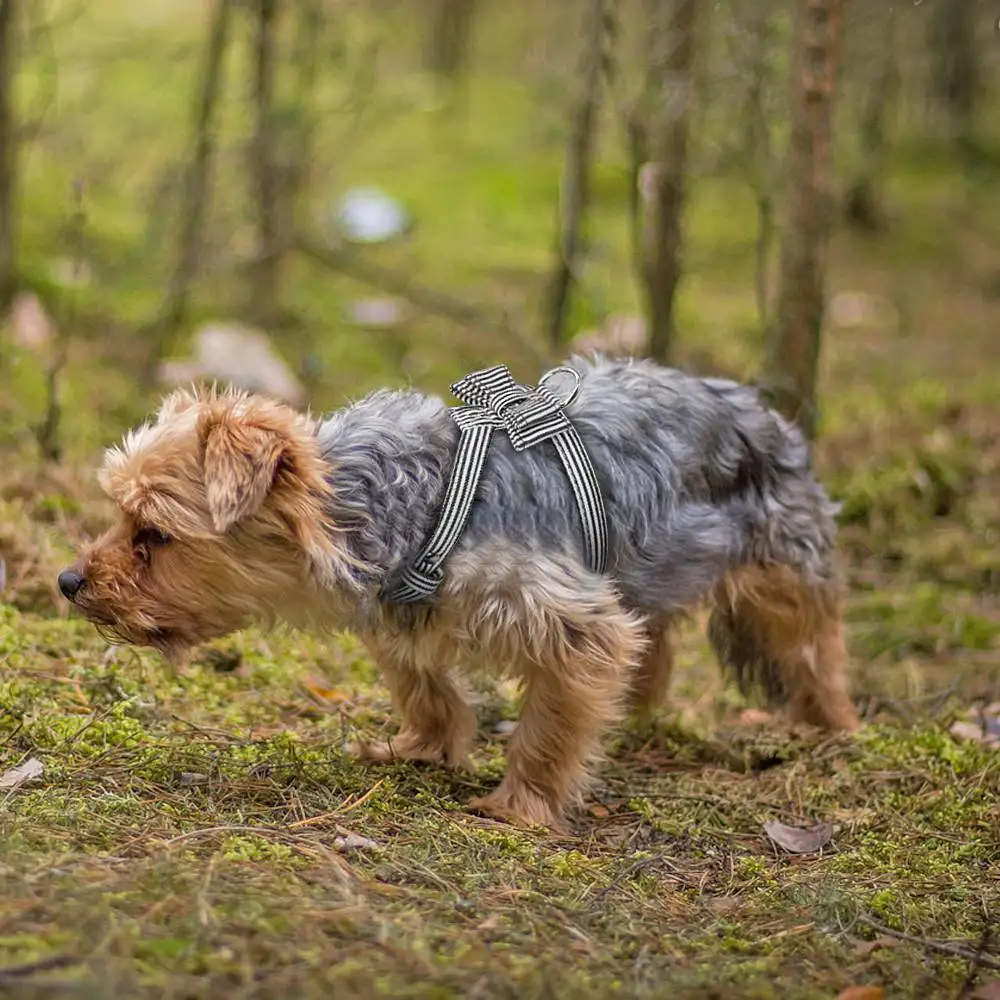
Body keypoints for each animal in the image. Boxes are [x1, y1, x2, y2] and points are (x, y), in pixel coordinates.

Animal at [58, 358, 860, 828]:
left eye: (154, 533)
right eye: (120, 515)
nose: (69, 581)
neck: (392, 506)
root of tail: (761, 406)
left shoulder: (571, 622)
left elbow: (549, 723)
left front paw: (522, 805)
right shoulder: (401, 608)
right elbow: (423, 683)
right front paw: (421, 748)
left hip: (782, 571)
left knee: (813, 649)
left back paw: (833, 729)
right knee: (654, 640)